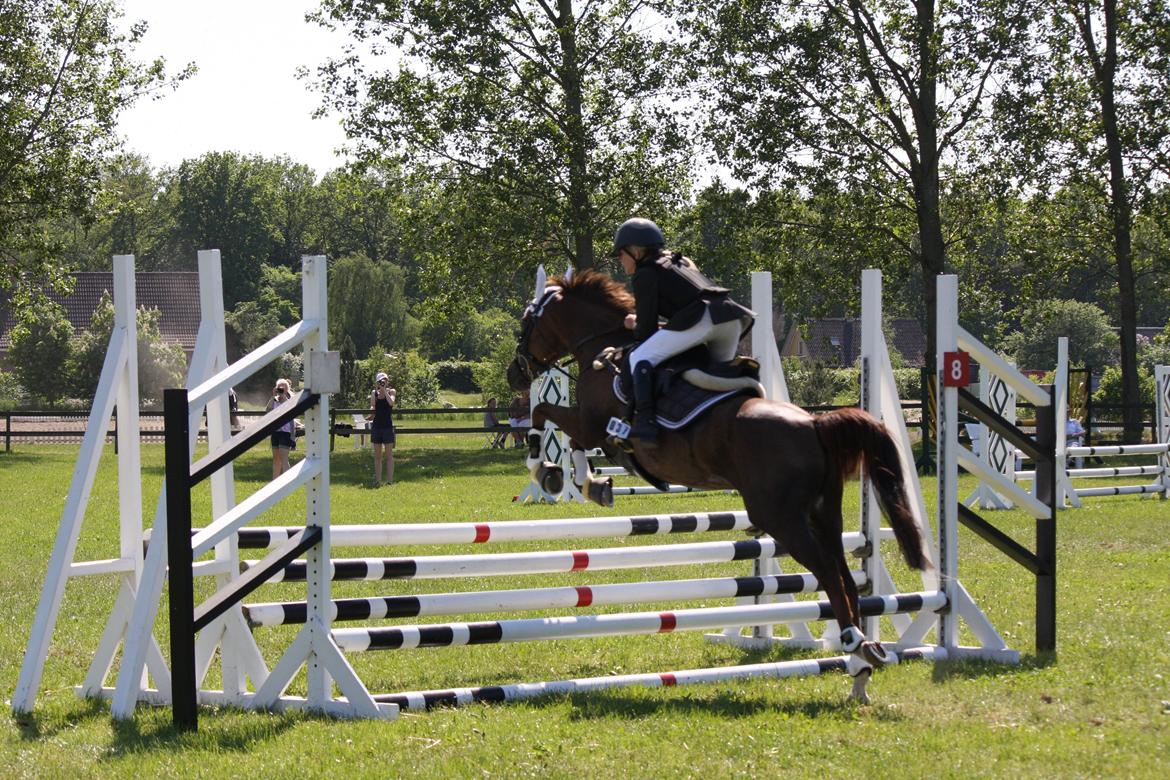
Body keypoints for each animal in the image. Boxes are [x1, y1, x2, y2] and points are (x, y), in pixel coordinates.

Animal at [506, 268, 931, 703]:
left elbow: (544, 414)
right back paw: (861, 664)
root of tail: (815, 423)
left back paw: (855, 644)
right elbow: (573, 444)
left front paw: (546, 469)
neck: (602, 347)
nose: (514, 374)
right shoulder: (595, 431)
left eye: (527, 323)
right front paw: (590, 483)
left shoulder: (592, 422)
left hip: (781, 518)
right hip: (822, 514)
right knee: (844, 573)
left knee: (828, 571)